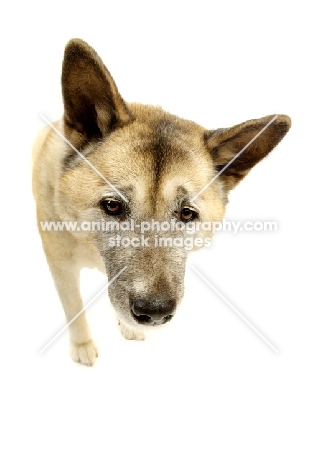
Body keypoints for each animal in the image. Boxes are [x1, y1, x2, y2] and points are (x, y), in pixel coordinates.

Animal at [32, 38, 292, 366]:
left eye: (187, 214)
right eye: (112, 206)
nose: (154, 313)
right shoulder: (61, 267)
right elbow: (74, 307)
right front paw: (82, 344)